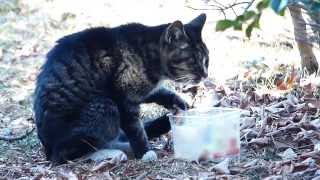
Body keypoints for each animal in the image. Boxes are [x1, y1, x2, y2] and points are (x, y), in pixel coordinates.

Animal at [33, 13, 209, 164]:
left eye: (206, 60)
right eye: (193, 60)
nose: (206, 75)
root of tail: (47, 150)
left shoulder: (141, 91)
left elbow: (161, 92)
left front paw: (180, 103)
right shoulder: (124, 99)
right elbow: (136, 130)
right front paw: (144, 153)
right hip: (104, 105)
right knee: (72, 152)